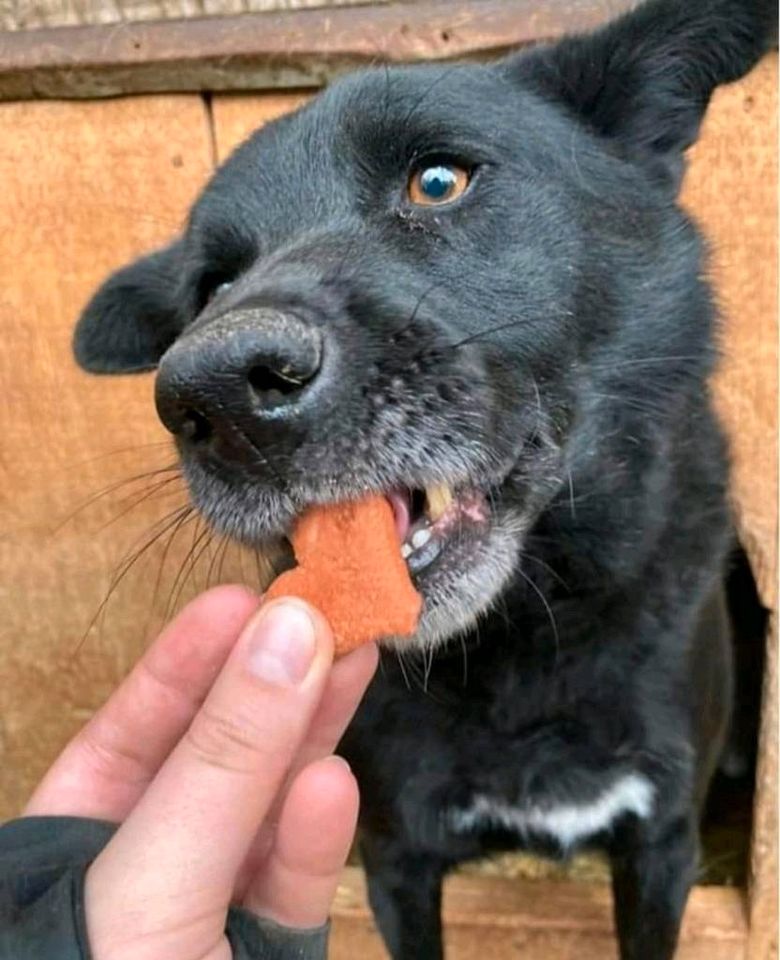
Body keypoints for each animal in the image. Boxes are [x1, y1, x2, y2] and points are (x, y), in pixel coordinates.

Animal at [71, 3, 772, 956]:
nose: (216, 394)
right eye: (212, 284)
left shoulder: (661, 844)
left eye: (438, 181)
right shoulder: (398, 855)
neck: (521, 641)